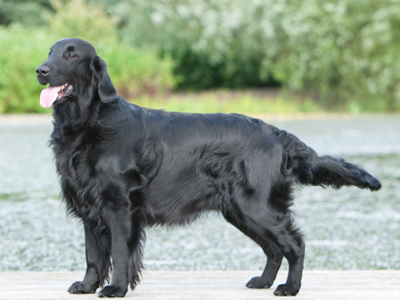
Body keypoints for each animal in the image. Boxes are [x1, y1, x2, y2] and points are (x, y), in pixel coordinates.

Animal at [36, 38, 380, 296]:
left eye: (71, 54)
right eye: (49, 52)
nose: (40, 70)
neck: (88, 124)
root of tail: (276, 133)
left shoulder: (120, 206)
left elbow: (119, 252)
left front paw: (115, 288)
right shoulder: (89, 207)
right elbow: (93, 256)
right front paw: (87, 286)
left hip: (256, 207)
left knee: (294, 244)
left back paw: (289, 287)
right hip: (241, 211)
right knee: (273, 249)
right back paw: (263, 281)